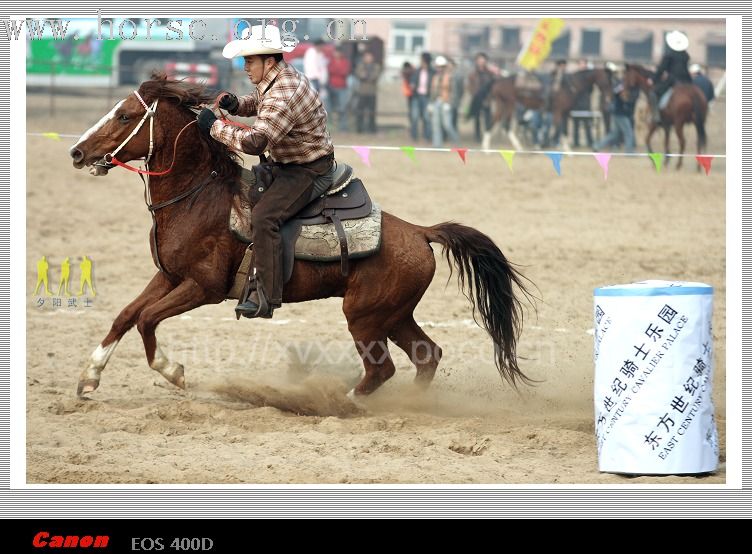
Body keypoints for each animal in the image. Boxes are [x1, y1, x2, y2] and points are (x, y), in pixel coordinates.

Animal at [66, 73, 536, 398]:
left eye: (124, 115)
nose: (77, 152)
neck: (199, 197)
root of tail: (420, 232)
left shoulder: (204, 287)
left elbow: (147, 319)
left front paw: (174, 373)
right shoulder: (168, 276)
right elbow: (126, 315)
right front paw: (89, 378)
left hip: (364, 317)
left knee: (381, 369)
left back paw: (344, 402)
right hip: (394, 314)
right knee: (427, 356)